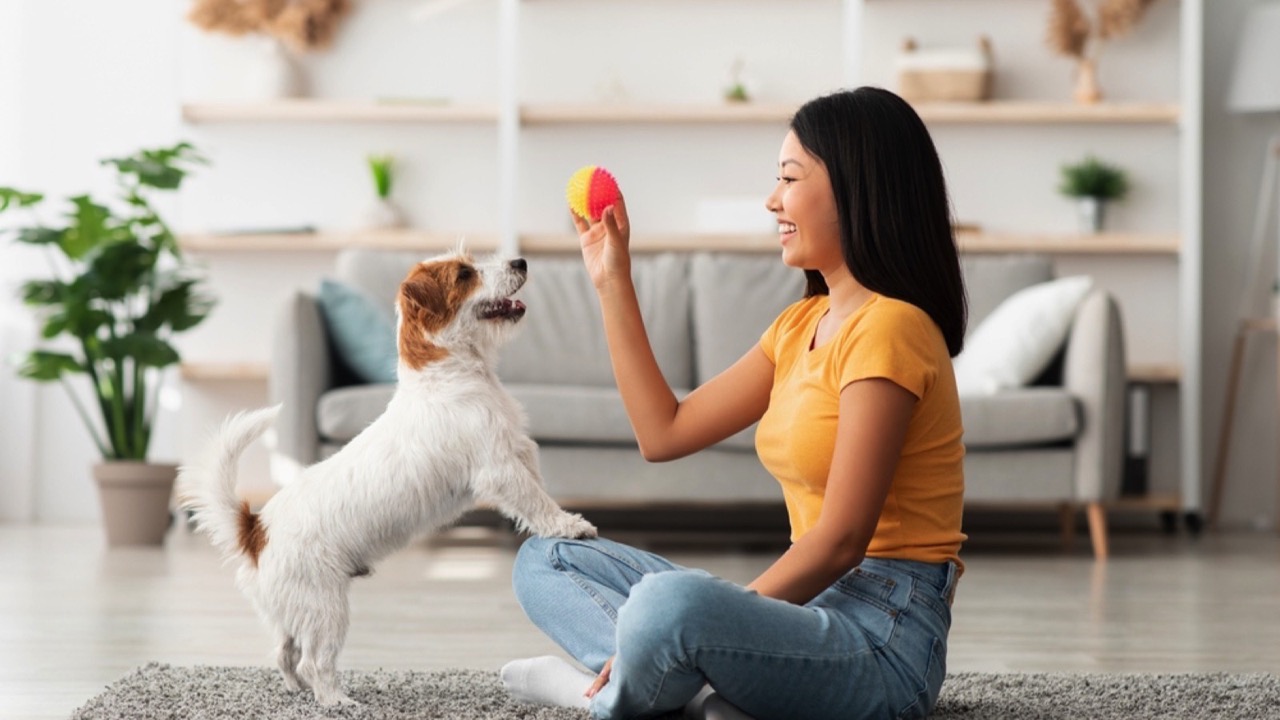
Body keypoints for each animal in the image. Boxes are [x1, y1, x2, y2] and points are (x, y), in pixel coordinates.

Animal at [176, 249, 599, 702]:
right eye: (464, 274)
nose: (520, 261)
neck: (447, 373)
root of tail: (255, 530)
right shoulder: (500, 468)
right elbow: (536, 501)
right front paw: (570, 525)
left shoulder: (521, 452)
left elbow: (539, 490)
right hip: (326, 608)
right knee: (313, 661)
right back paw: (338, 702)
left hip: (295, 610)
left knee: (284, 653)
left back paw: (297, 690)